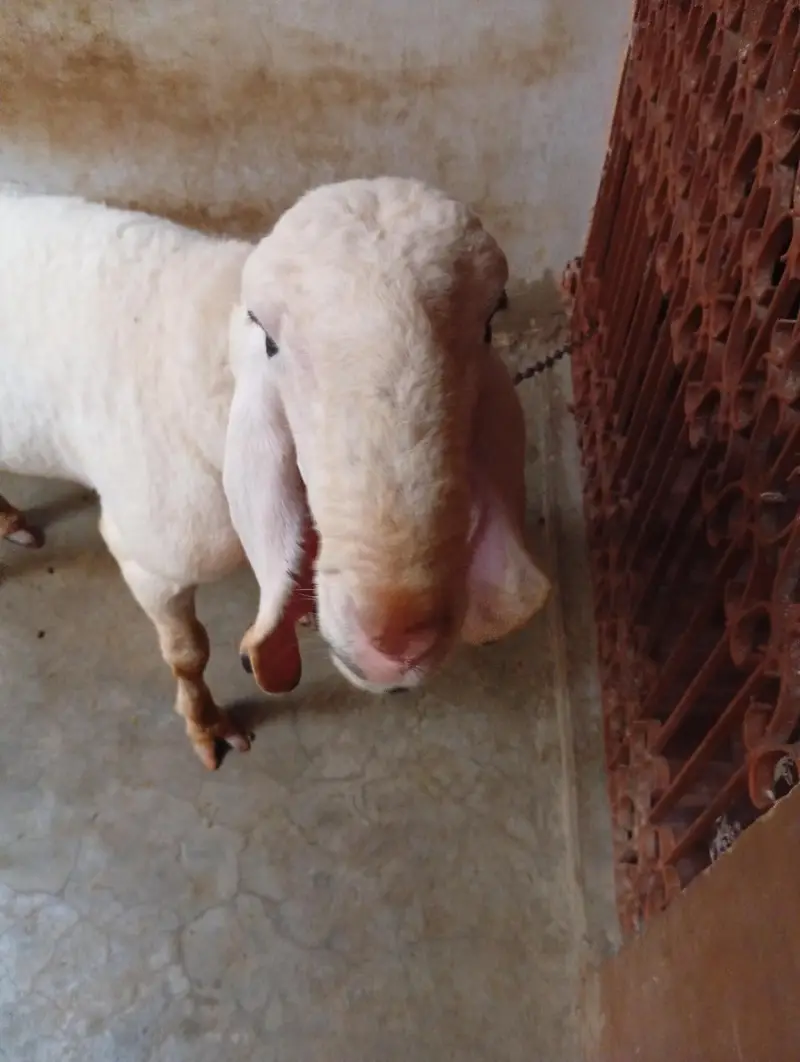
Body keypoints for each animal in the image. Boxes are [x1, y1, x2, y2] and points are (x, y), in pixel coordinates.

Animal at [0, 176, 551, 769]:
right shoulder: (148, 559)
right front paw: (207, 726)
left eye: (491, 321)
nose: (397, 642)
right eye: (268, 338)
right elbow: (187, 653)